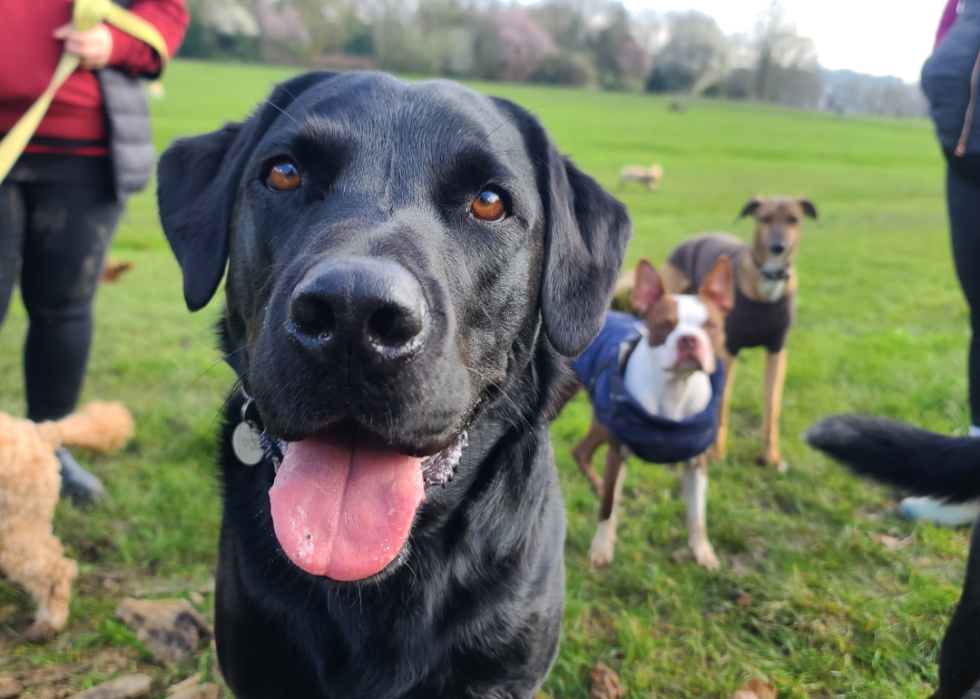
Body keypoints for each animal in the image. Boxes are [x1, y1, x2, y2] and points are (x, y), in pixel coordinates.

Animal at [0, 402, 133, 644]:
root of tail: (40, 433)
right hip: (28, 522)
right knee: (53, 549)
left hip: (12, 530)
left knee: (56, 570)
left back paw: (47, 624)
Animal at [572, 258, 732, 576]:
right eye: (662, 326)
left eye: (711, 326)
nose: (689, 340)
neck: (674, 390)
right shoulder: (617, 452)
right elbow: (607, 509)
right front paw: (601, 548)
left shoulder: (696, 463)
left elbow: (698, 514)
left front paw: (703, 553)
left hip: (600, 418)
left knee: (581, 451)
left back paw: (598, 484)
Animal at [664, 196, 816, 470]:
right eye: (765, 218)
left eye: (793, 219)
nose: (778, 247)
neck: (768, 283)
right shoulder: (729, 351)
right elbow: (722, 402)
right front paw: (716, 451)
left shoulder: (777, 351)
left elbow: (772, 406)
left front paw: (770, 456)